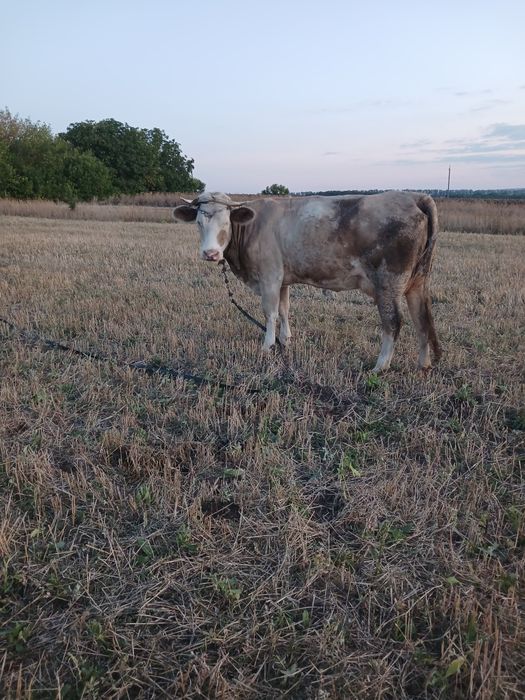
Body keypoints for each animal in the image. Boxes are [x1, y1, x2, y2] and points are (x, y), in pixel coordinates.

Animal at [173, 191, 442, 372]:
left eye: (226, 222)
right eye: (198, 222)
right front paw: (285, 340)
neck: (251, 226)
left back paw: (381, 366)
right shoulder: (283, 279)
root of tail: (415, 197)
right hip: (417, 281)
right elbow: (284, 309)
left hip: (388, 282)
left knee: (394, 322)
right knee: (422, 319)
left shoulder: (270, 276)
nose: (210, 253)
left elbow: (270, 312)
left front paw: (267, 346)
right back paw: (423, 364)